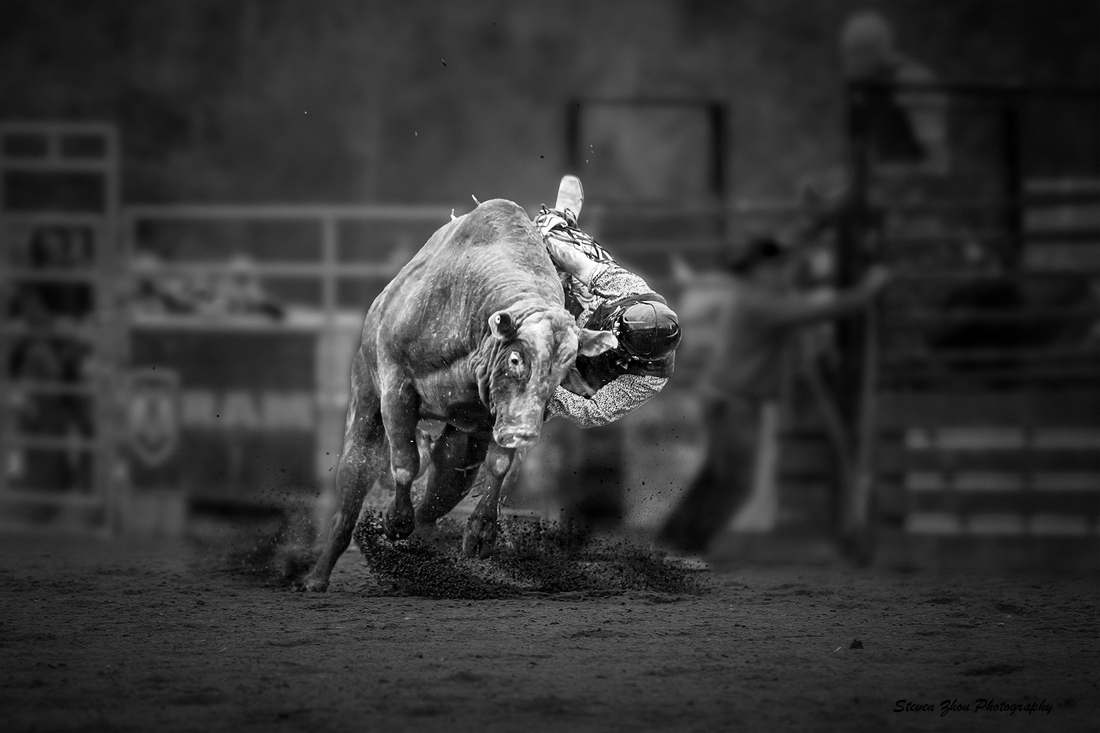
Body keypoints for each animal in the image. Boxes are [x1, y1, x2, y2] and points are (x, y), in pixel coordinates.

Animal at [300, 199, 617, 592]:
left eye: (563, 369)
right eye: (516, 358)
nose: (524, 433)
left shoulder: (495, 419)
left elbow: (497, 465)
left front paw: (481, 532)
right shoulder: (396, 386)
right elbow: (404, 462)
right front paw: (395, 521)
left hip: (463, 440)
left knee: (445, 481)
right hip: (365, 396)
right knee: (355, 478)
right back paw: (318, 575)